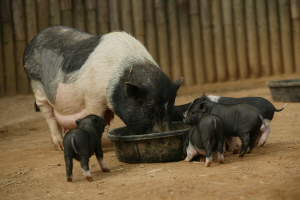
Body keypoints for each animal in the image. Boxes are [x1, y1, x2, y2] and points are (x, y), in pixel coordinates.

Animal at [24, 25, 183, 150]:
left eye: (170, 107)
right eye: (149, 109)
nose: (164, 133)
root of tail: (31, 43)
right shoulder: (92, 97)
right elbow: (94, 116)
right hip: (36, 84)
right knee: (48, 114)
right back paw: (60, 146)